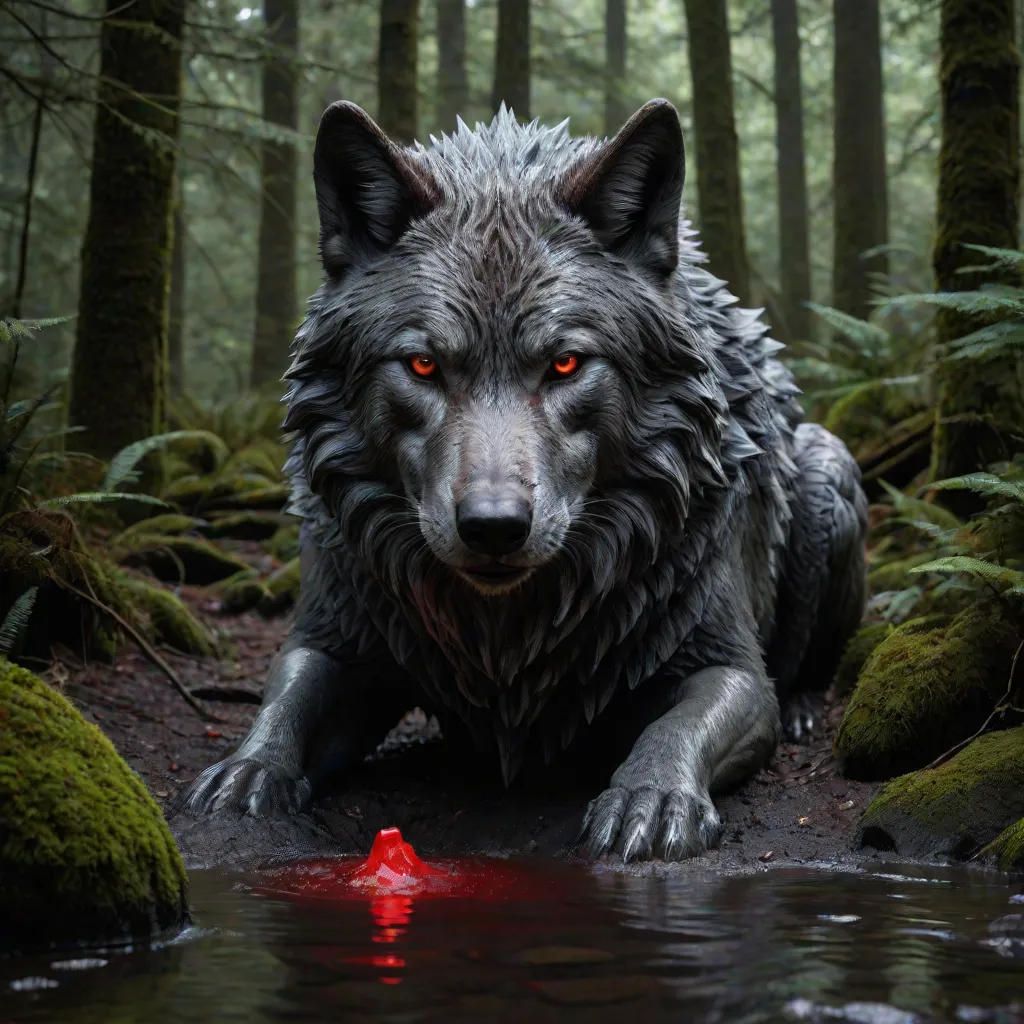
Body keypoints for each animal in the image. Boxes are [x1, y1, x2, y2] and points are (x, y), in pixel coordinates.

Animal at [185, 99, 866, 861]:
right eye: (422, 365)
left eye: (566, 363)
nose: (493, 527)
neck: (506, 635)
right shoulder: (338, 636)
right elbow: (287, 697)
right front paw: (249, 770)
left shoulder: (730, 669)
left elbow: (678, 725)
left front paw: (653, 795)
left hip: (827, 475)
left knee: (806, 663)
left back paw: (806, 710)